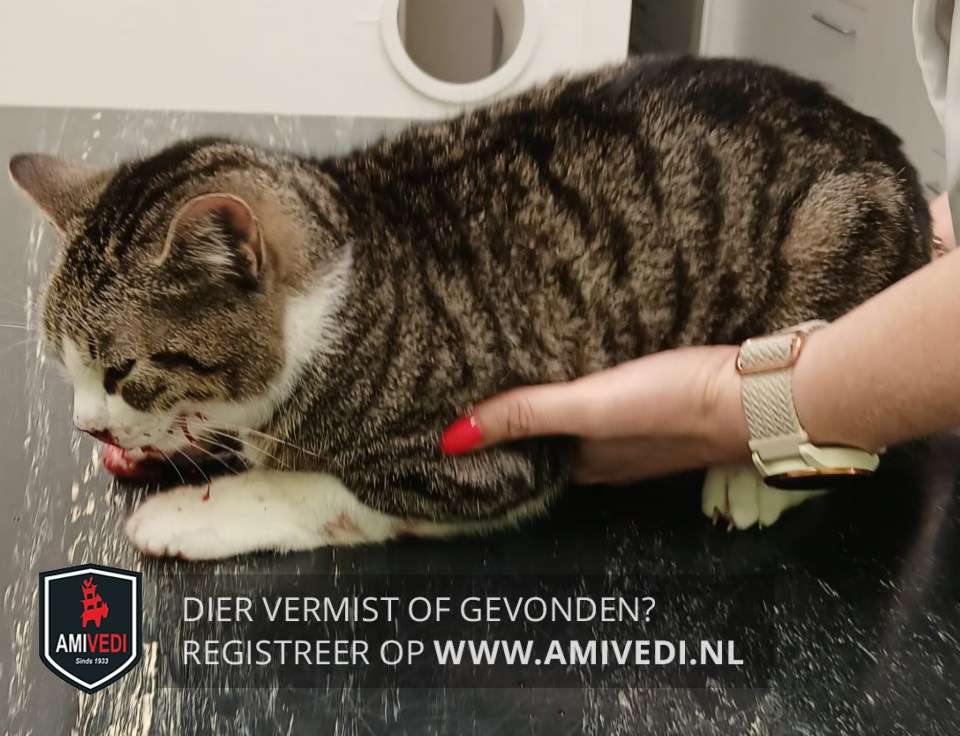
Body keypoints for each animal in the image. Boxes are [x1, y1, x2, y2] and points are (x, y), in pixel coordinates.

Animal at [9, 55, 930, 560]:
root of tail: (894, 155)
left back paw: (750, 480)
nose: (87, 424)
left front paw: (191, 511)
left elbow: (315, 489)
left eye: (124, 370)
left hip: (832, 238)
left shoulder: (495, 459)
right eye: (66, 369)